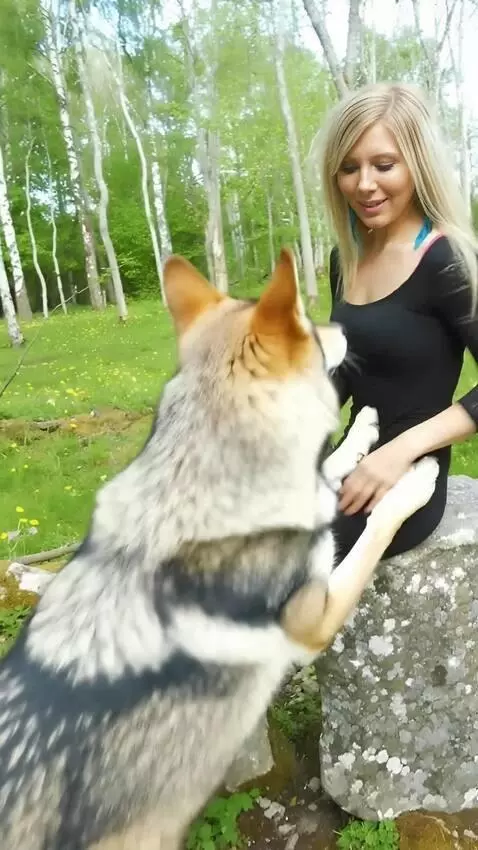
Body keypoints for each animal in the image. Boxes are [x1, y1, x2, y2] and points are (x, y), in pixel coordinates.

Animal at [0, 248, 438, 850]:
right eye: (311, 328)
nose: (345, 328)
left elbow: (331, 468)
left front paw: (366, 430)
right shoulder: (314, 623)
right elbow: (376, 527)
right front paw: (414, 480)